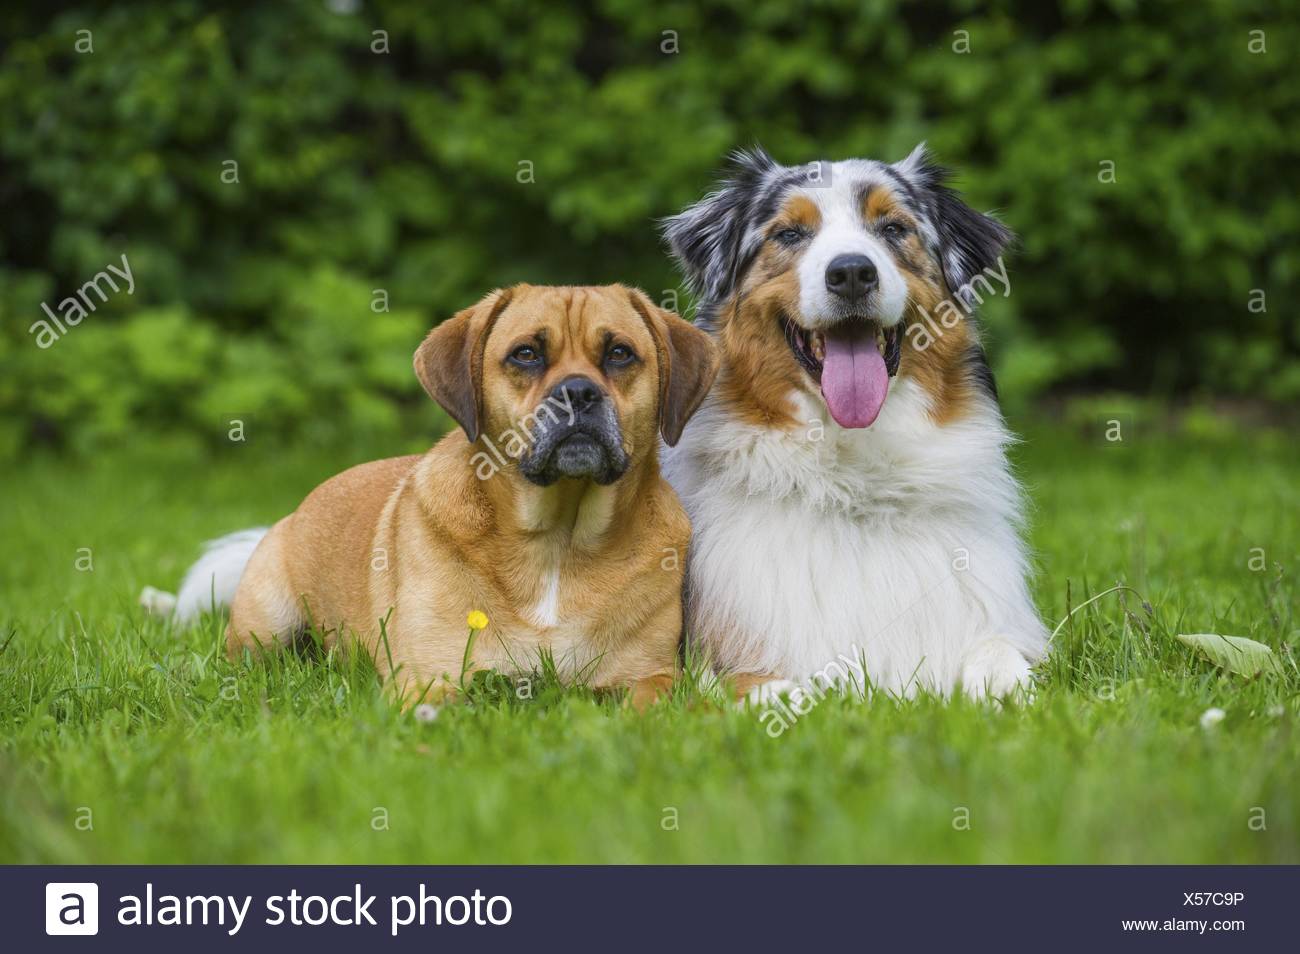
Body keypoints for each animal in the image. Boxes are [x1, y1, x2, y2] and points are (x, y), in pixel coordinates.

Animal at [209, 283, 717, 712]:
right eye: (526, 354)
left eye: (619, 353)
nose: (578, 391)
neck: (558, 538)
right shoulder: (426, 680)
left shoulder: (650, 675)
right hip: (266, 625)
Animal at [665, 143, 1050, 701]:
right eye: (789, 234)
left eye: (892, 228)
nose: (850, 272)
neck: (854, 479)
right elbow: (778, 690)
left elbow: (1000, 658)